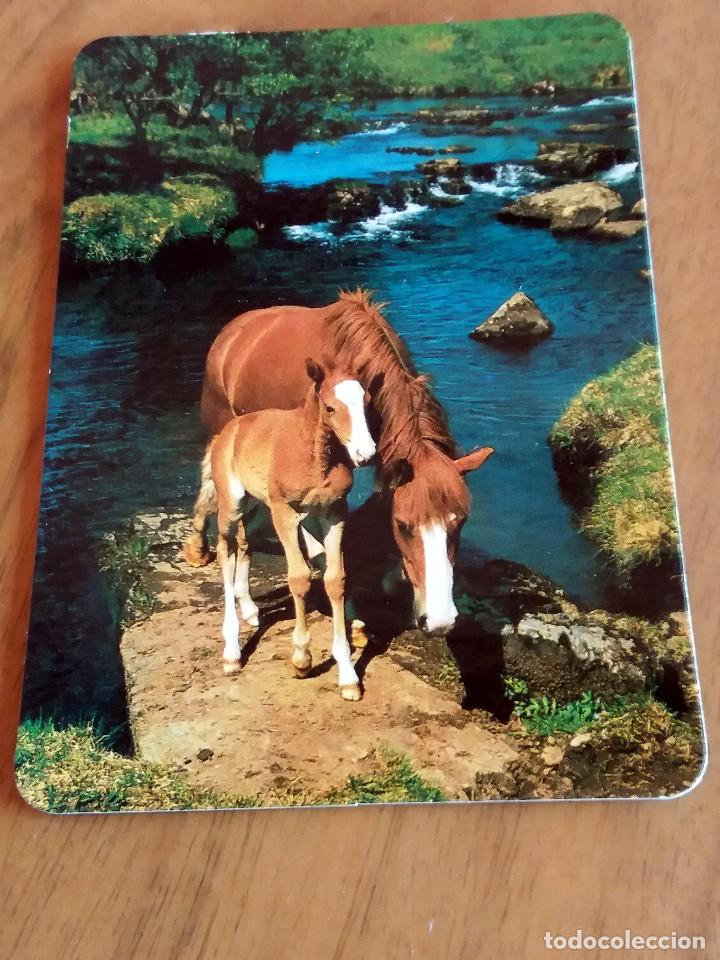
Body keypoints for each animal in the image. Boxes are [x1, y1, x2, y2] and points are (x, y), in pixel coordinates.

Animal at [185, 289, 493, 635]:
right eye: (404, 526)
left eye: (460, 522)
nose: (440, 622)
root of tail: (231, 332)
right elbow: (321, 547)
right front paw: (348, 612)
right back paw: (228, 581)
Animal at [202, 359, 375, 701]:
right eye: (330, 407)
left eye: (366, 400)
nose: (366, 453)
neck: (314, 454)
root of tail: (226, 433)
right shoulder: (285, 512)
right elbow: (299, 578)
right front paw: (302, 658)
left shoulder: (334, 512)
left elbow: (335, 579)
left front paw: (348, 676)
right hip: (233, 504)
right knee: (226, 550)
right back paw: (231, 651)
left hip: (257, 505)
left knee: (245, 542)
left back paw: (250, 610)